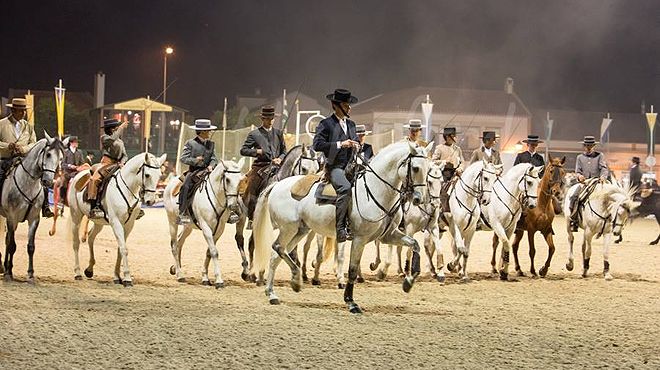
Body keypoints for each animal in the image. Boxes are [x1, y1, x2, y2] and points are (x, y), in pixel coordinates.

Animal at [0, 134, 67, 282]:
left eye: (61, 158)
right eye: (48, 154)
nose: (48, 181)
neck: (28, 184)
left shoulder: (34, 219)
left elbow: (30, 247)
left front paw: (30, 274)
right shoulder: (12, 217)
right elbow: (12, 245)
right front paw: (9, 273)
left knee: (7, 239)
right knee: (8, 240)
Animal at [67, 152, 168, 284]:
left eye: (160, 175)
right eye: (147, 175)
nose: (150, 201)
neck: (128, 189)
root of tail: (79, 174)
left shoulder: (129, 225)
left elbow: (120, 247)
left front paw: (117, 276)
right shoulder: (116, 223)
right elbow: (124, 248)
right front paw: (127, 278)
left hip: (99, 223)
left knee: (91, 237)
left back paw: (89, 270)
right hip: (76, 216)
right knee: (76, 243)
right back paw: (77, 273)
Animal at [164, 158, 246, 288]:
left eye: (240, 180)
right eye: (227, 179)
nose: (233, 206)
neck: (215, 197)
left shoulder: (219, 229)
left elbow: (209, 252)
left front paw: (205, 278)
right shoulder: (206, 227)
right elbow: (214, 252)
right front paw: (219, 280)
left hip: (188, 227)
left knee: (179, 242)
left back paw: (176, 269)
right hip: (172, 222)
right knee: (174, 245)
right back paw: (180, 275)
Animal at [250, 140, 430, 314]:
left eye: (428, 169)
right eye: (415, 168)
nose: (418, 199)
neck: (376, 189)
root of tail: (277, 185)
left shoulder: (389, 235)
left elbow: (415, 244)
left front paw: (408, 281)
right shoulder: (359, 239)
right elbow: (352, 270)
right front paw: (351, 302)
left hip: (300, 230)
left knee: (277, 255)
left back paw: (273, 293)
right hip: (288, 229)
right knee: (278, 247)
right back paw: (295, 280)